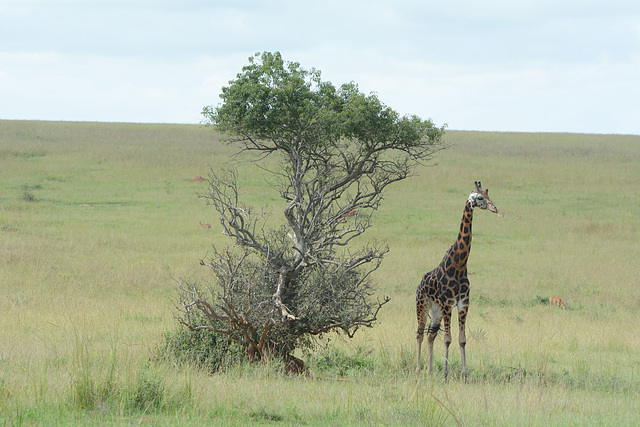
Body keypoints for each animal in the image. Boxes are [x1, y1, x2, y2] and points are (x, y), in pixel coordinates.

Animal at [416, 181, 500, 382]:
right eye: (480, 197)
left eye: (489, 195)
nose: (495, 208)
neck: (460, 263)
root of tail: (418, 285)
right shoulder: (448, 303)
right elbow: (448, 339)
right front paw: (446, 375)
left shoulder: (463, 303)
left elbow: (462, 340)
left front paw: (464, 374)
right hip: (422, 305)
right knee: (419, 335)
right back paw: (418, 369)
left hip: (436, 311)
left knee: (430, 335)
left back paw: (430, 370)